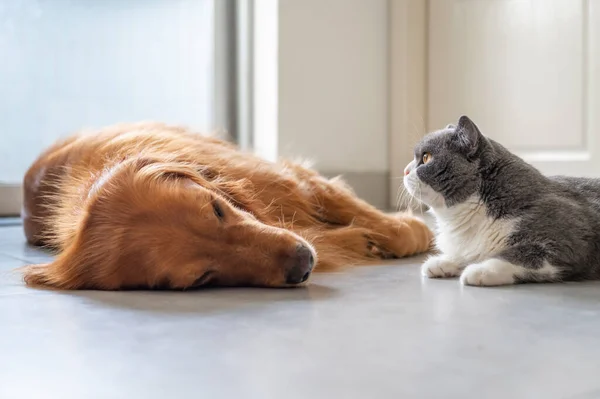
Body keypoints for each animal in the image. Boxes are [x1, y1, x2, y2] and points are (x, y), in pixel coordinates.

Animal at [400, 115, 600, 288]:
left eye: (426, 157)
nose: (405, 170)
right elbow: (468, 252)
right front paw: (443, 262)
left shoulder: (566, 242)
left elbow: (520, 255)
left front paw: (479, 270)